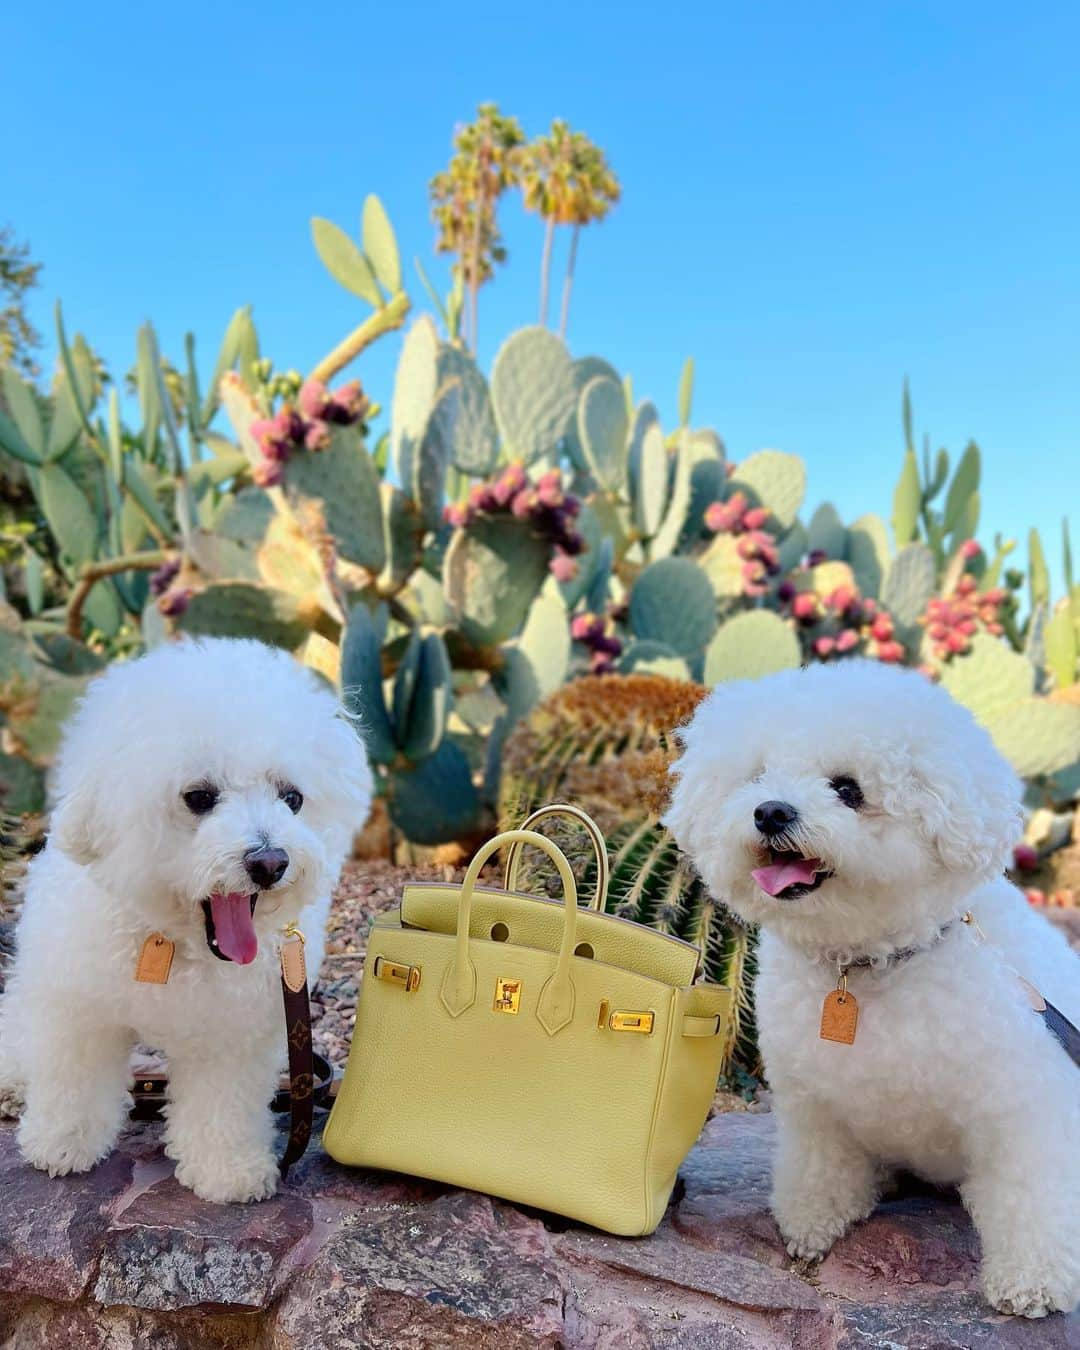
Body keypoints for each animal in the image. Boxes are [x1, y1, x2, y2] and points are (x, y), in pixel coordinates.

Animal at [0, 637, 372, 1209]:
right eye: (199, 797)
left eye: (292, 798)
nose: (270, 862)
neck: (172, 938)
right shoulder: (80, 1008)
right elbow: (74, 1078)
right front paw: (63, 1142)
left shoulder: (233, 1031)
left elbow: (222, 1104)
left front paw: (229, 1169)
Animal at [666, 661, 1080, 1317]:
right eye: (757, 777)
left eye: (848, 789)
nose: (770, 811)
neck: (869, 965)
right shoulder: (815, 1104)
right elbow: (822, 1166)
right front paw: (812, 1221)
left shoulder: (1024, 1109)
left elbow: (1030, 1197)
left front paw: (1032, 1281)